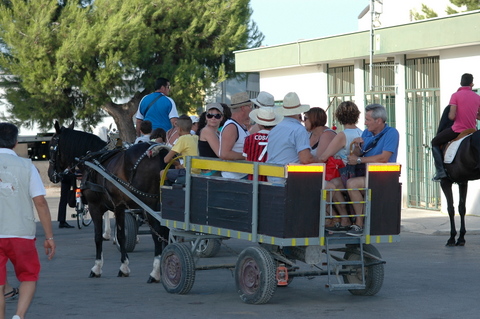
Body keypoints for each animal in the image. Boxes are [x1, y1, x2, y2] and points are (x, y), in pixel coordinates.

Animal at [47, 121, 170, 282]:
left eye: (51, 147)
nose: (50, 174)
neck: (94, 159)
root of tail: (160, 152)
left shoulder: (95, 207)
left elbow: (98, 237)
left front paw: (97, 267)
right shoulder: (120, 208)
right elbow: (121, 236)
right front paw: (124, 266)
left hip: (149, 205)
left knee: (158, 233)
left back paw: (155, 272)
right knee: (166, 232)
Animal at [436, 107, 480, 248]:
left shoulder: (445, 182)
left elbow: (451, 208)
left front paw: (452, 237)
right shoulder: (463, 182)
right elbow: (462, 208)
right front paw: (461, 238)